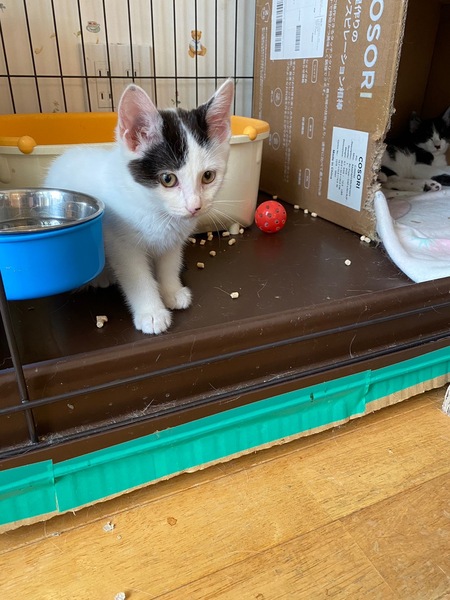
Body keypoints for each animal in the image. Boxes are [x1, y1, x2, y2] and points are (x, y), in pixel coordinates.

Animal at [45, 79, 234, 334]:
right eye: (168, 179)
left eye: (208, 176)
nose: (195, 207)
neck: (155, 210)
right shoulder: (122, 244)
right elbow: (137, 278)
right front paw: (151, 313)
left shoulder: (174, 240)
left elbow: (169, 263)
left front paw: (171, 291)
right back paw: (100, 277)